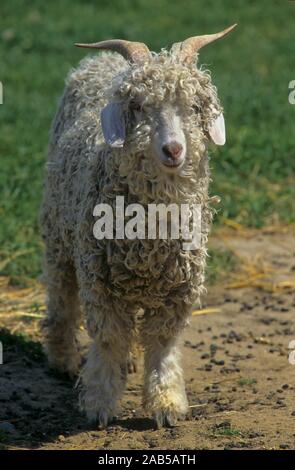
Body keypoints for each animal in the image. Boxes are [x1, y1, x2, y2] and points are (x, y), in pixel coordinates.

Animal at [41, 25, 236, 430]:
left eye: (194, 107)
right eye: (139, 106)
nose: (173, 150)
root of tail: (100, 61)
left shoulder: (181, 286)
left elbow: (161, 345)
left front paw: (167, 403)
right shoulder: (99, 280)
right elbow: (109, 340)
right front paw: (99, 404)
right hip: (58, 234)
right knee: (61, 298)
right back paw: (63, 358)